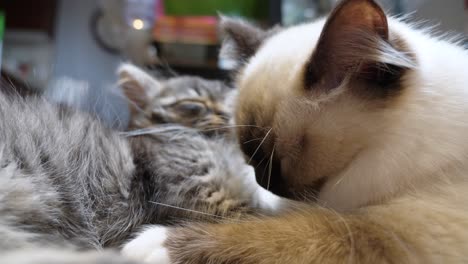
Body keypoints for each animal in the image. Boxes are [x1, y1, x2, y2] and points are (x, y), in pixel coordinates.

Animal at [122, 1, 468, 262]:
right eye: (248, 156)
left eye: (277, 157)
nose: (262, 182)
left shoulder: (385, 234)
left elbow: (279, 234)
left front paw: (150, 245)